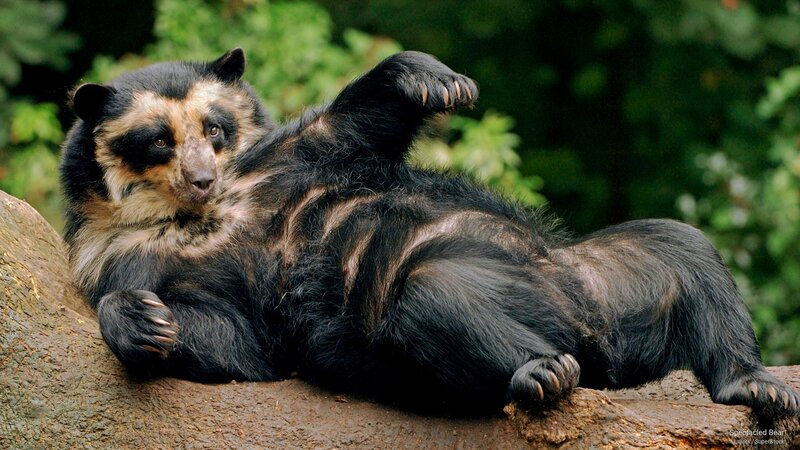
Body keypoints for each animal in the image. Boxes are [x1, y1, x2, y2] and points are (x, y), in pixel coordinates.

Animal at [60, 48, 799, 417]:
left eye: (214, 127)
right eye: (157, 141)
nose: (203, 177)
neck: (207, 216)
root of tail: (598, 341)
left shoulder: (282, 161)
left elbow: (353, 124)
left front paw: (439, 82)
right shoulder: (125, 256)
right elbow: (230, 339)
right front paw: (148, 323)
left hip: (606, 272)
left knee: (682, 246)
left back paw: (757, 386)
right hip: (433, 304)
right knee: (434, 298)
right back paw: (544, 372)